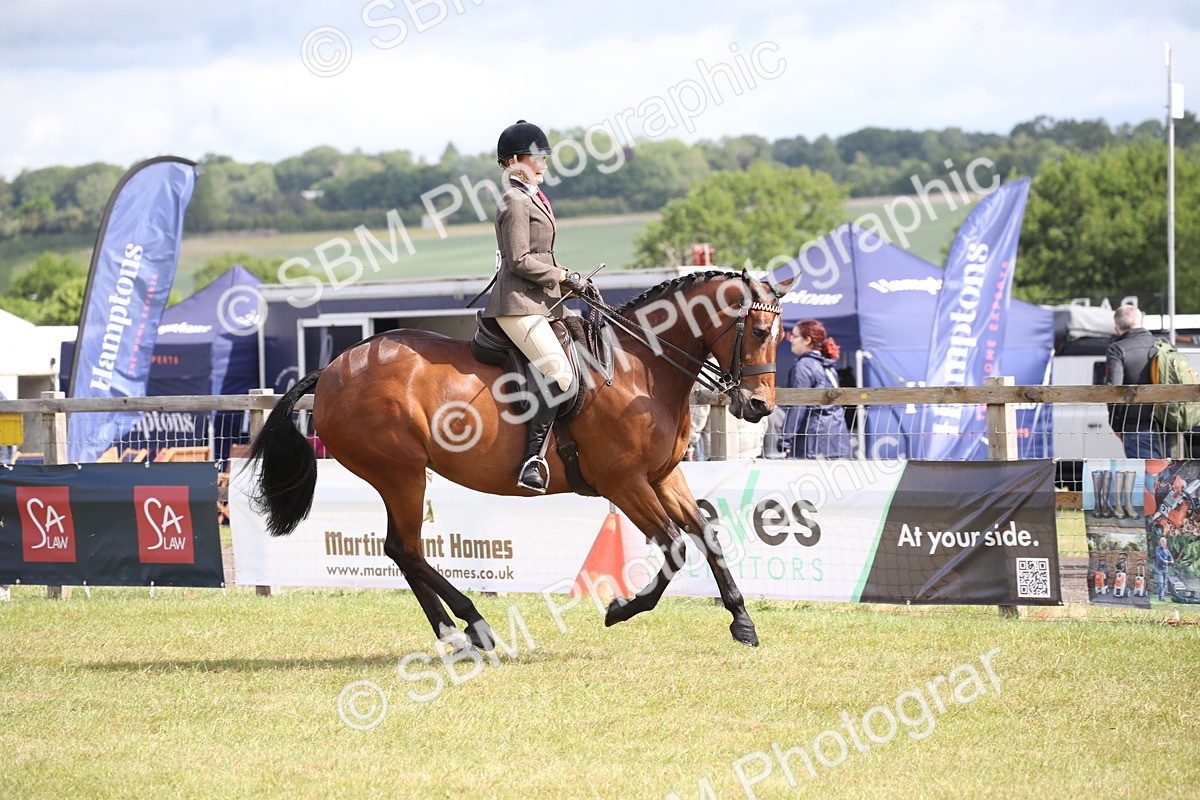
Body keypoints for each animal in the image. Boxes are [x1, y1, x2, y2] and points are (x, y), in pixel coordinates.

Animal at [246, 269, 787, 650]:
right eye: (760, 331)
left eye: (781, 335)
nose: (758, 407)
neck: (640, 366)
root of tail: (332, 369)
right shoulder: (624, 483)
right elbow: (674, 547)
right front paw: (620, 609)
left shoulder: (663, 476)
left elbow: (705, 534)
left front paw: (742, 621)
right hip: (399, 473)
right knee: (406, 549)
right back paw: (470, 627)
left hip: (399, 476)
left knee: (402, 550)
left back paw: (460, 632)